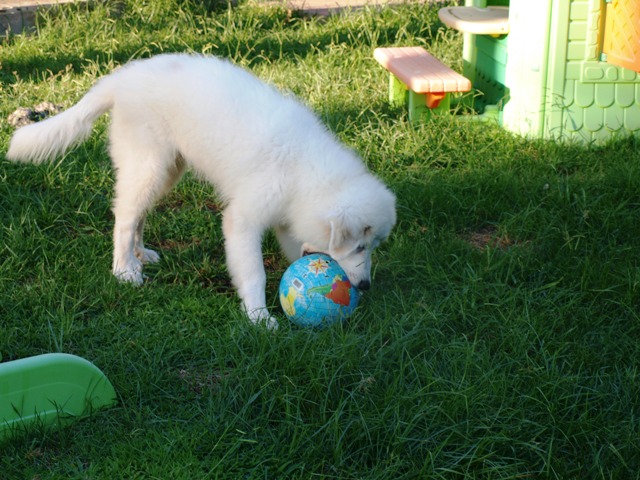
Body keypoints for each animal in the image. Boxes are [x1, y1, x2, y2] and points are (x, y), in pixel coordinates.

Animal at [6, 54, 396, 328]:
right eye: (360, 246)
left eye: (371, 246)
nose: (365, 287)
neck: (305, 169)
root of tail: (123, 77)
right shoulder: (243, 219)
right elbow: (253, 271)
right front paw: (259, 317)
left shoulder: (287, 217)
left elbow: (294, 249)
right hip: (149, 163)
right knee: (124, 217)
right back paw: (125, 270)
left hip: (166, 169)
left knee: (137, 214)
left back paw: (141, 254)